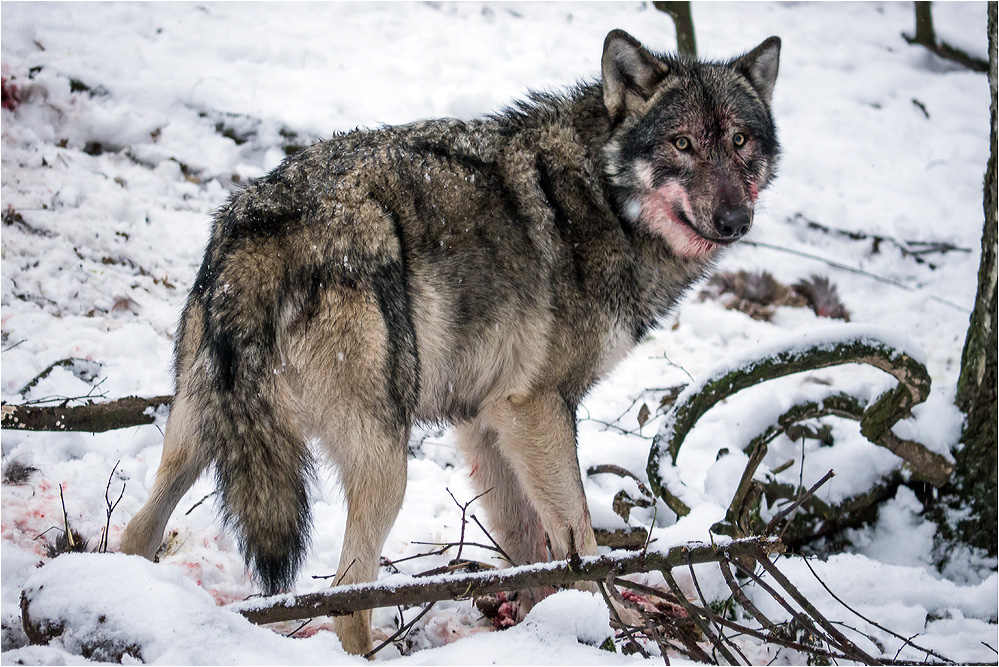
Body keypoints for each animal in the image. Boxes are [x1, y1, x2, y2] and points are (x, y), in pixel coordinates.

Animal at [121, 28, 780, 656]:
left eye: (739, 140)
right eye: (682, 144)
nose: (734, 221)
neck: (602, 197)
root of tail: (262, 229)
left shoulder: (489, 421)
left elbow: (528, 545)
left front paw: (544, 626)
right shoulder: (538, 408)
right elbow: (580, 543)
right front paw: (610, 630)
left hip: (199, 432)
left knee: (136, 533)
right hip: (386, 462)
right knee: (347, 598)